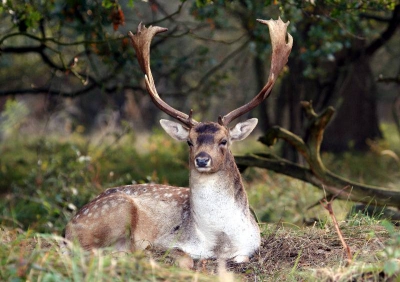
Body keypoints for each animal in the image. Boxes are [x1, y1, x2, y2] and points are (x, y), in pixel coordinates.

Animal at [64, 17, 292, 266]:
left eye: (224, 141)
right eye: (189, 142)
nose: (202, 159)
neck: (218, 241)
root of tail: (68, 226)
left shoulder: (251, 246)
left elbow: (240, 258)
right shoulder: (169, 242)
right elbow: (185, 258)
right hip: (114, 210)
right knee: (90, 251)